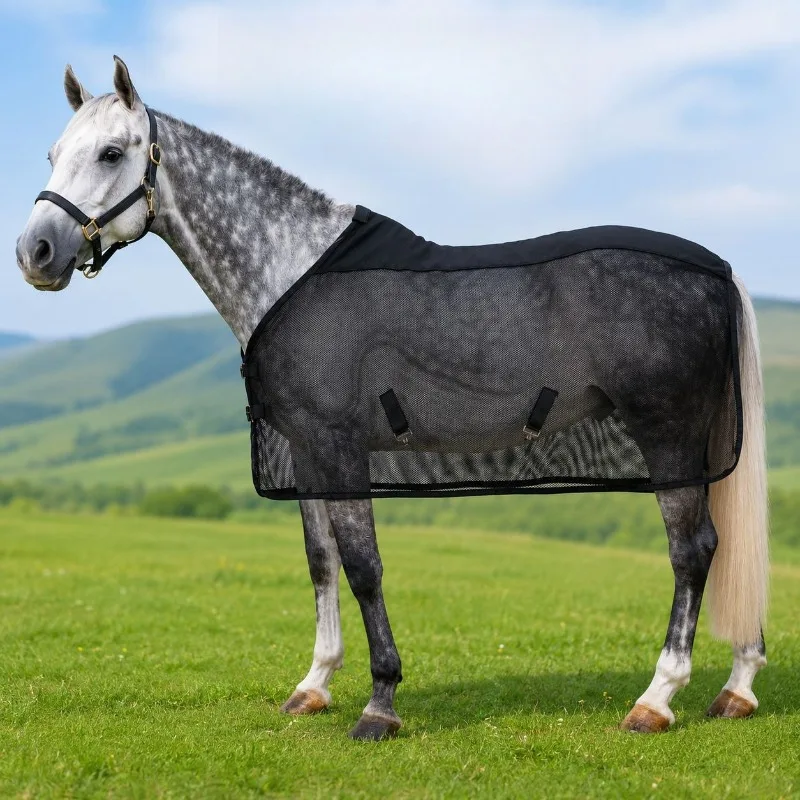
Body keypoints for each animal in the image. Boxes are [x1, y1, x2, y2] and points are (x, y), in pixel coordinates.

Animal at [15, 57, 769, 740]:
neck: (292, 273)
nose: (35, 253)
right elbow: (321, 563)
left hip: (668, 434)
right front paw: (313, 685)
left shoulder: (342, 447)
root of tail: (719, 270)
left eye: (112, 152)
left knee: (693, 549)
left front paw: (380, 705)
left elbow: (363, 567)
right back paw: (736, 688)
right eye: (53, 153)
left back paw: (657, 699)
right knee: (728, 552)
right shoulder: (308, 452)